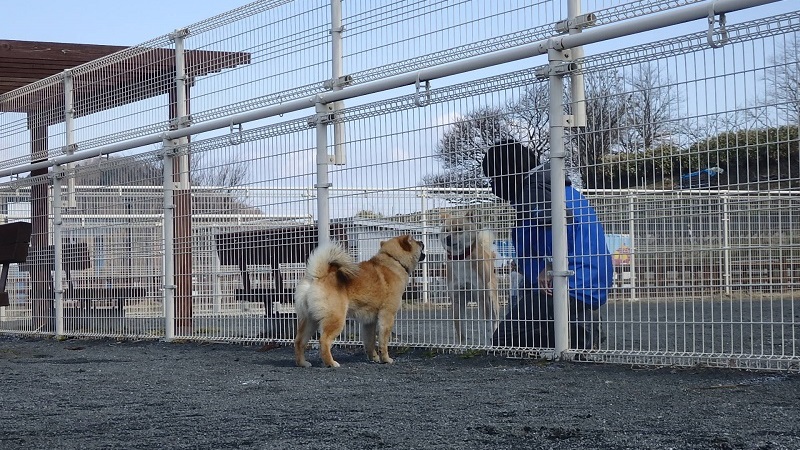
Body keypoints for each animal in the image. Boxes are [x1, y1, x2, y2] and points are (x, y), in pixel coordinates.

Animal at [294, 234, 428, 368]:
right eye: (417, 242)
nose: (422, 242)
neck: (394, 261)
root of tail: (317, 276)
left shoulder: (369, 322)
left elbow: (370, 342)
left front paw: (374, 357)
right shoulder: (387, 316)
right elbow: (383, 342)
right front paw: (385, 359)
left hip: (310, 321)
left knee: (299, 341)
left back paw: (302, 363)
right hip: (335, 319)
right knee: (324, 341)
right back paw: (331, 363)